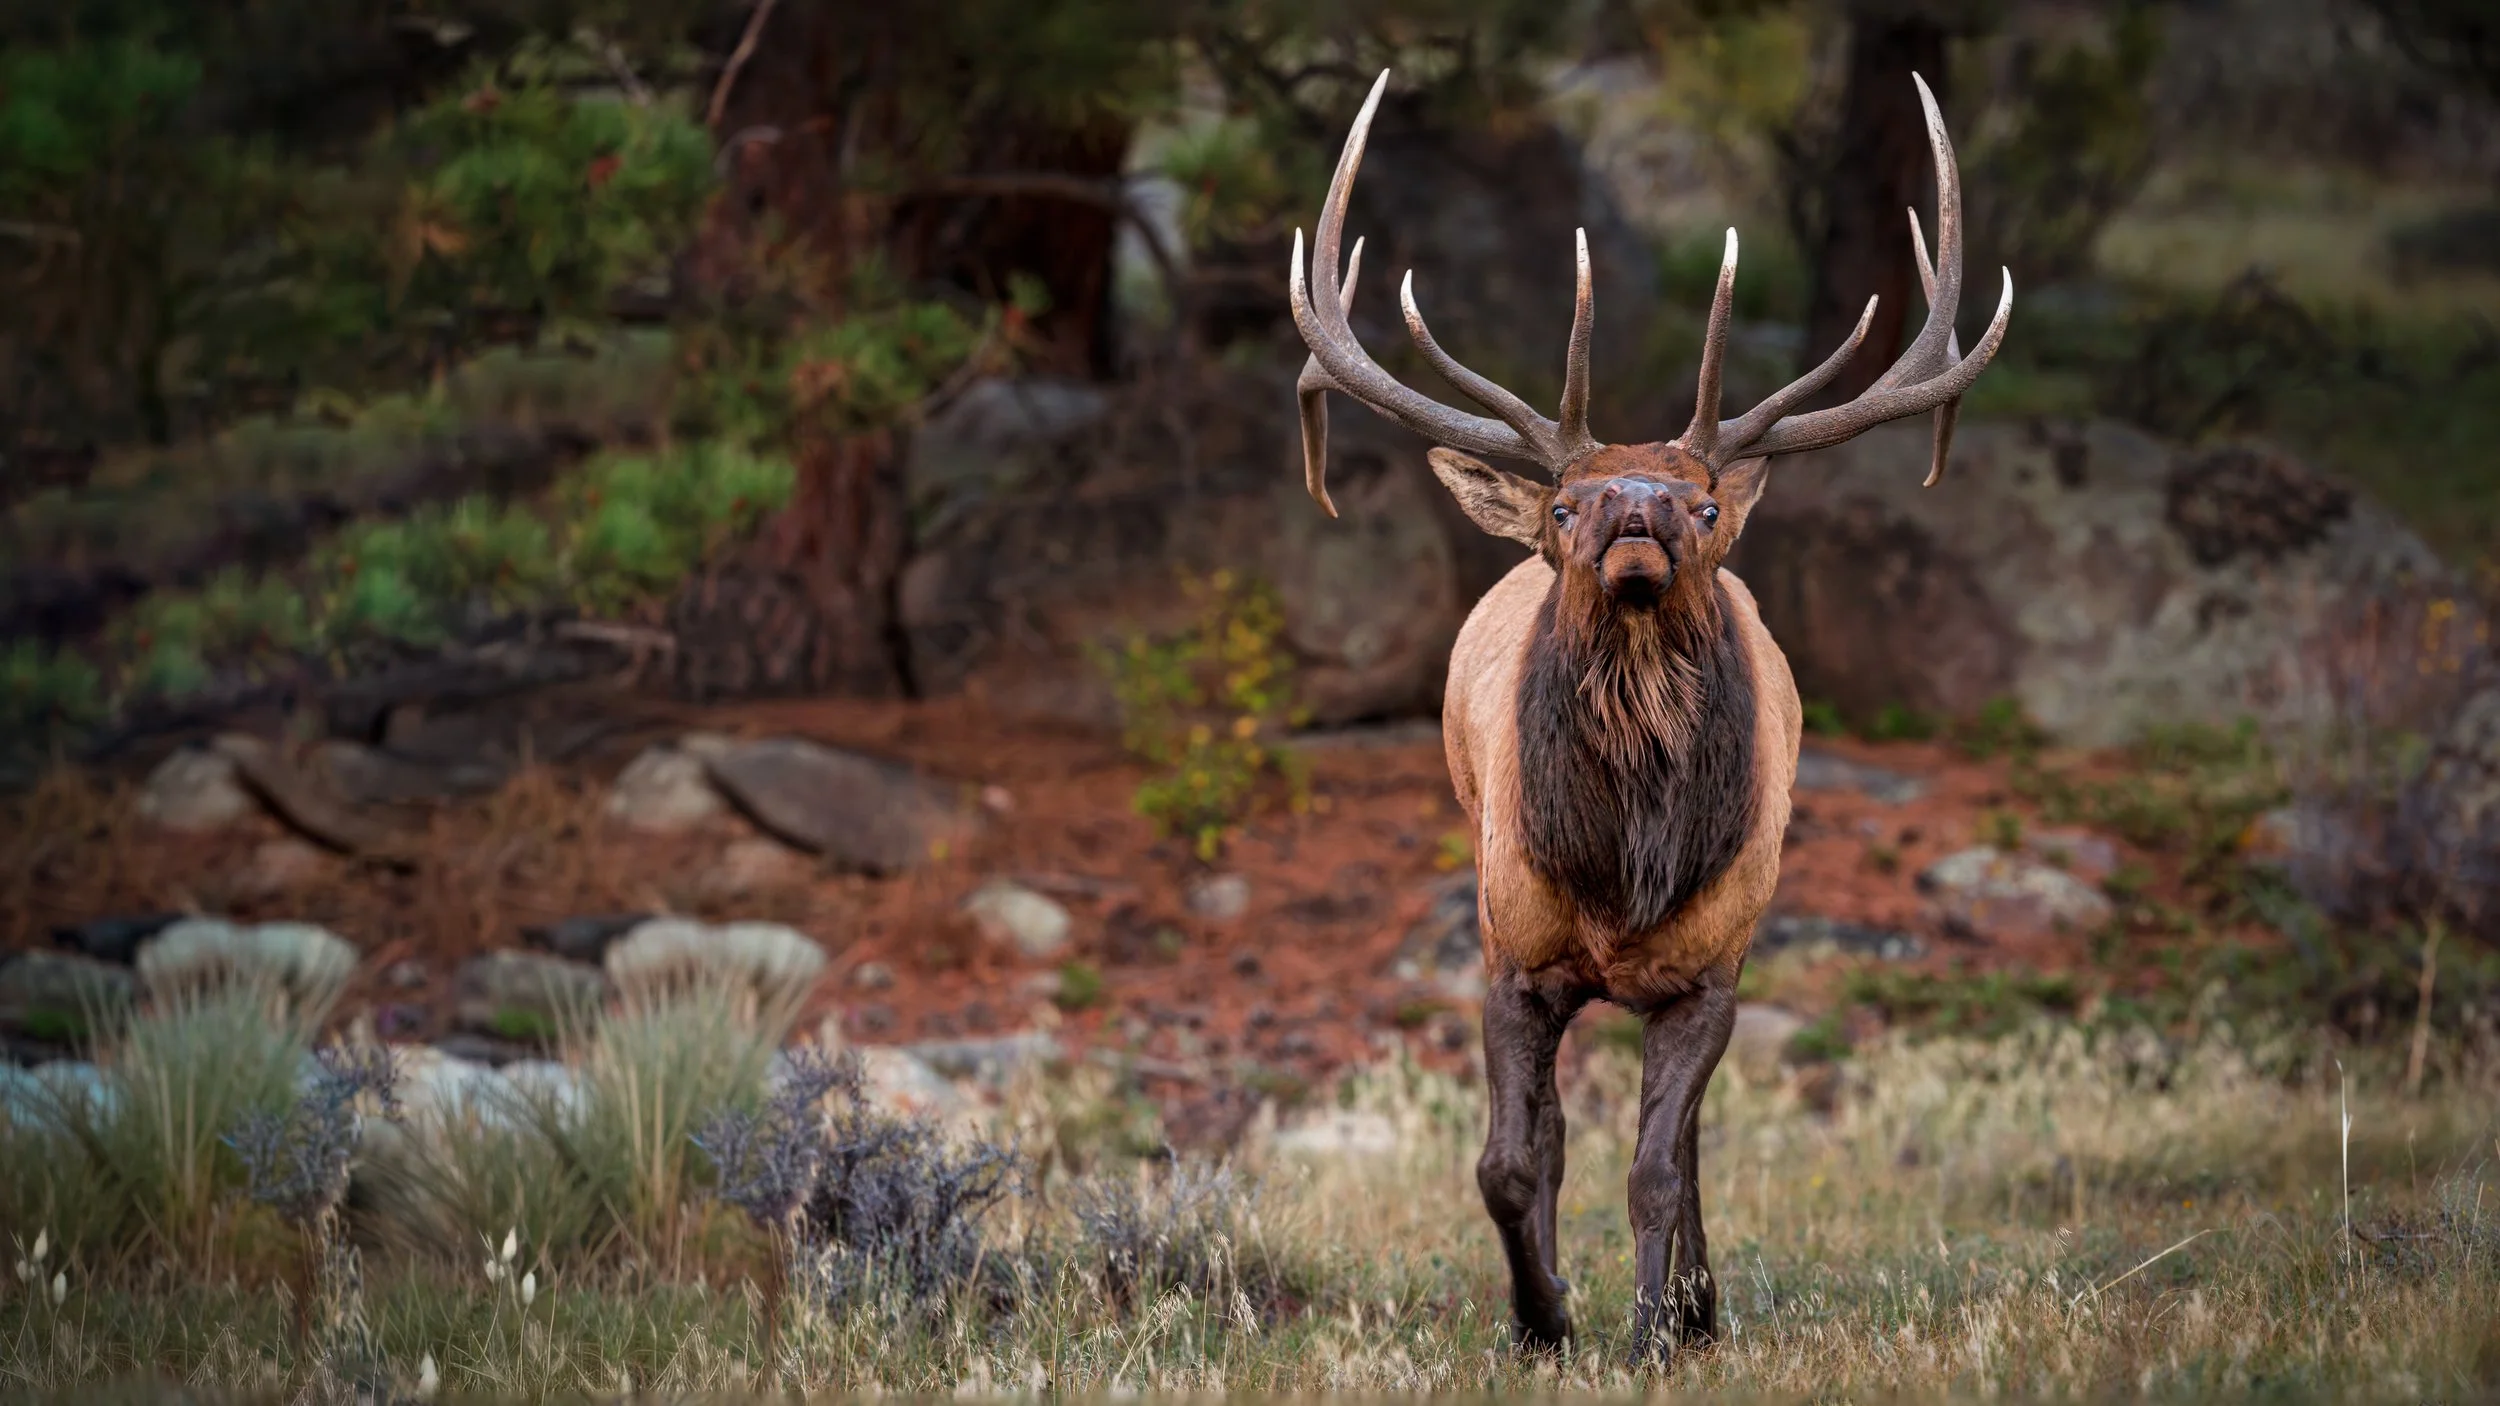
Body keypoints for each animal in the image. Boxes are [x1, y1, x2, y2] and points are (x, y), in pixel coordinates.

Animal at [1287, 70, 2010, 1364]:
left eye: (1706, 501)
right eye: (1563, 503)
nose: (1637, 508)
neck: (1624, 870)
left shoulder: (1709, 967)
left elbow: (1659, 1169)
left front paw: (1651, 1329)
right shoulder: (1511, 950)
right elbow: (1512, 1160)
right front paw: (1541, 1317)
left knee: (1679, 1145)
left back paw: (1699, 1302)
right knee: (1563, 1138)